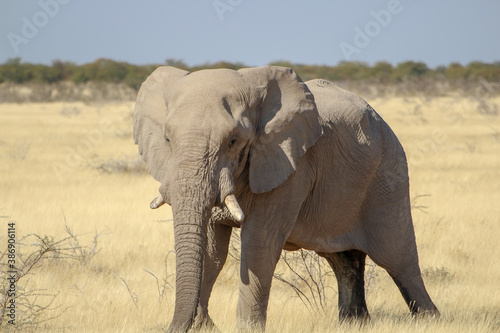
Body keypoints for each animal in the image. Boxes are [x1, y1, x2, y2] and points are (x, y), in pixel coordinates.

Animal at [133, 66, 438, 330]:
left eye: (233, 141)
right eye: (168, 140)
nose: (172, 327)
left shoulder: (290, 163)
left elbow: (259, 243)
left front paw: (247, 329)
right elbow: (211, 250)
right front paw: (203, 326)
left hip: (388, 173)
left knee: (397, 258)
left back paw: (429, 319)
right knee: (343, 258)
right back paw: (354, 323)